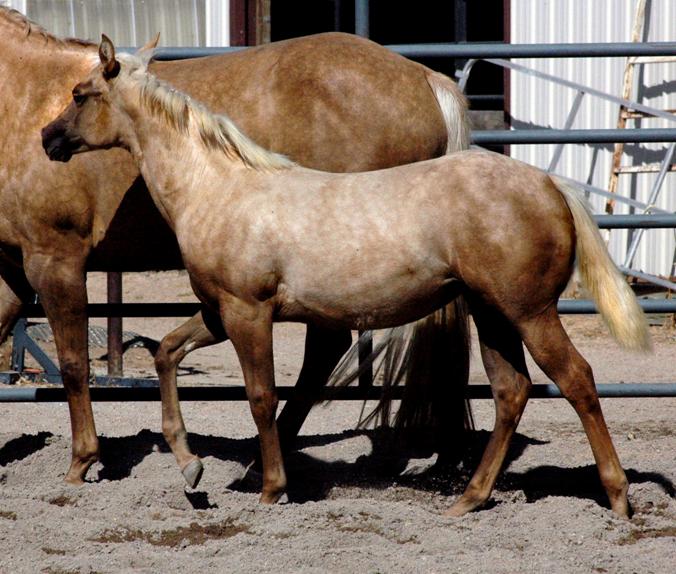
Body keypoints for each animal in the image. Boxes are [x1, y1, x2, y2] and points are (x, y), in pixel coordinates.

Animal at [0, 7, 470, 486]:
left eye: (79, 97)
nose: (48, 138)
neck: (25, 96)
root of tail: (424, 76)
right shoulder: (13, 268)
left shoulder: (54, 259)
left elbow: (74, 363)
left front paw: (82, 461)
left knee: (325, 350)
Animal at [42, 37, 650, 517]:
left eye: (80, 94)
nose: (49, 139)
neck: (219, 187)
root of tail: (548, 185)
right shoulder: (218, 311)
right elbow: (167, 352)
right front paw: (190, 467)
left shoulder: (248, 312)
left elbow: (260, 396)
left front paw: (272, 489)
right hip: (491, 313)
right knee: (511, 392)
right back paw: (469, 499)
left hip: (529, 313)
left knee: (577, 380)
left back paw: (618, 497)